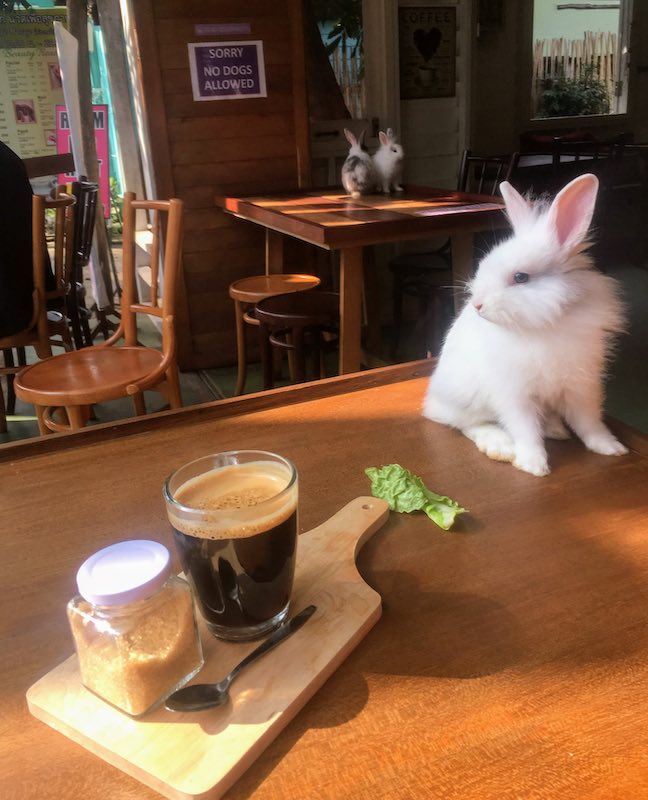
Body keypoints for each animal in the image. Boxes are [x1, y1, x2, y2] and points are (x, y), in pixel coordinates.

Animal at [420, 173, 628, 476]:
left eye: (521, 277)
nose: (478, 305)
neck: (545, 325)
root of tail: (433, 400)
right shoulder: (515, 395)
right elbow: (525, 429)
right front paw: (533, 465)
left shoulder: (581, 387)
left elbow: (589, 421)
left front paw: (610, 448)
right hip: (466, 400)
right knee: (464, 423)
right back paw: (500, 445)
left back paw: (555, 429)